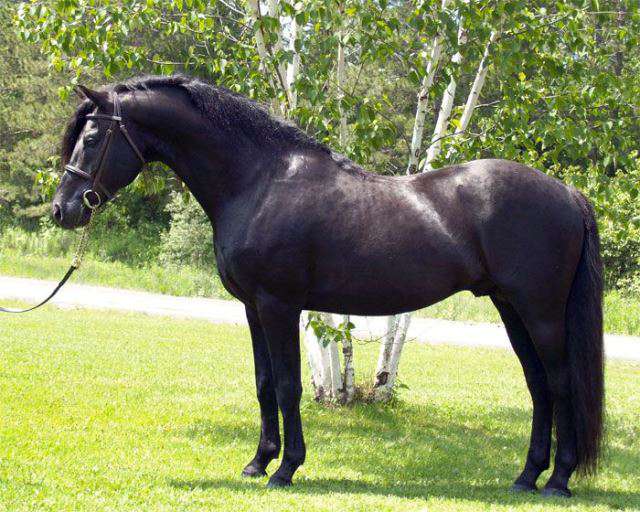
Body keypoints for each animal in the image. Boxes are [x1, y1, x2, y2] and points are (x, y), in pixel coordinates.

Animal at [52, 74, 604, 497]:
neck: (259, 182)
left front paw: (286, 469)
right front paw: (257, 463)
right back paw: (527, 477)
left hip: (542, 313)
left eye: (93, 139)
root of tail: (567, 192)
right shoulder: (253, 308)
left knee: (560, 383)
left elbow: (289, 385)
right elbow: (264, 383)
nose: (63, 209)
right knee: (539, 387)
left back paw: (557, 480)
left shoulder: (279, 305)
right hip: (513, 310)